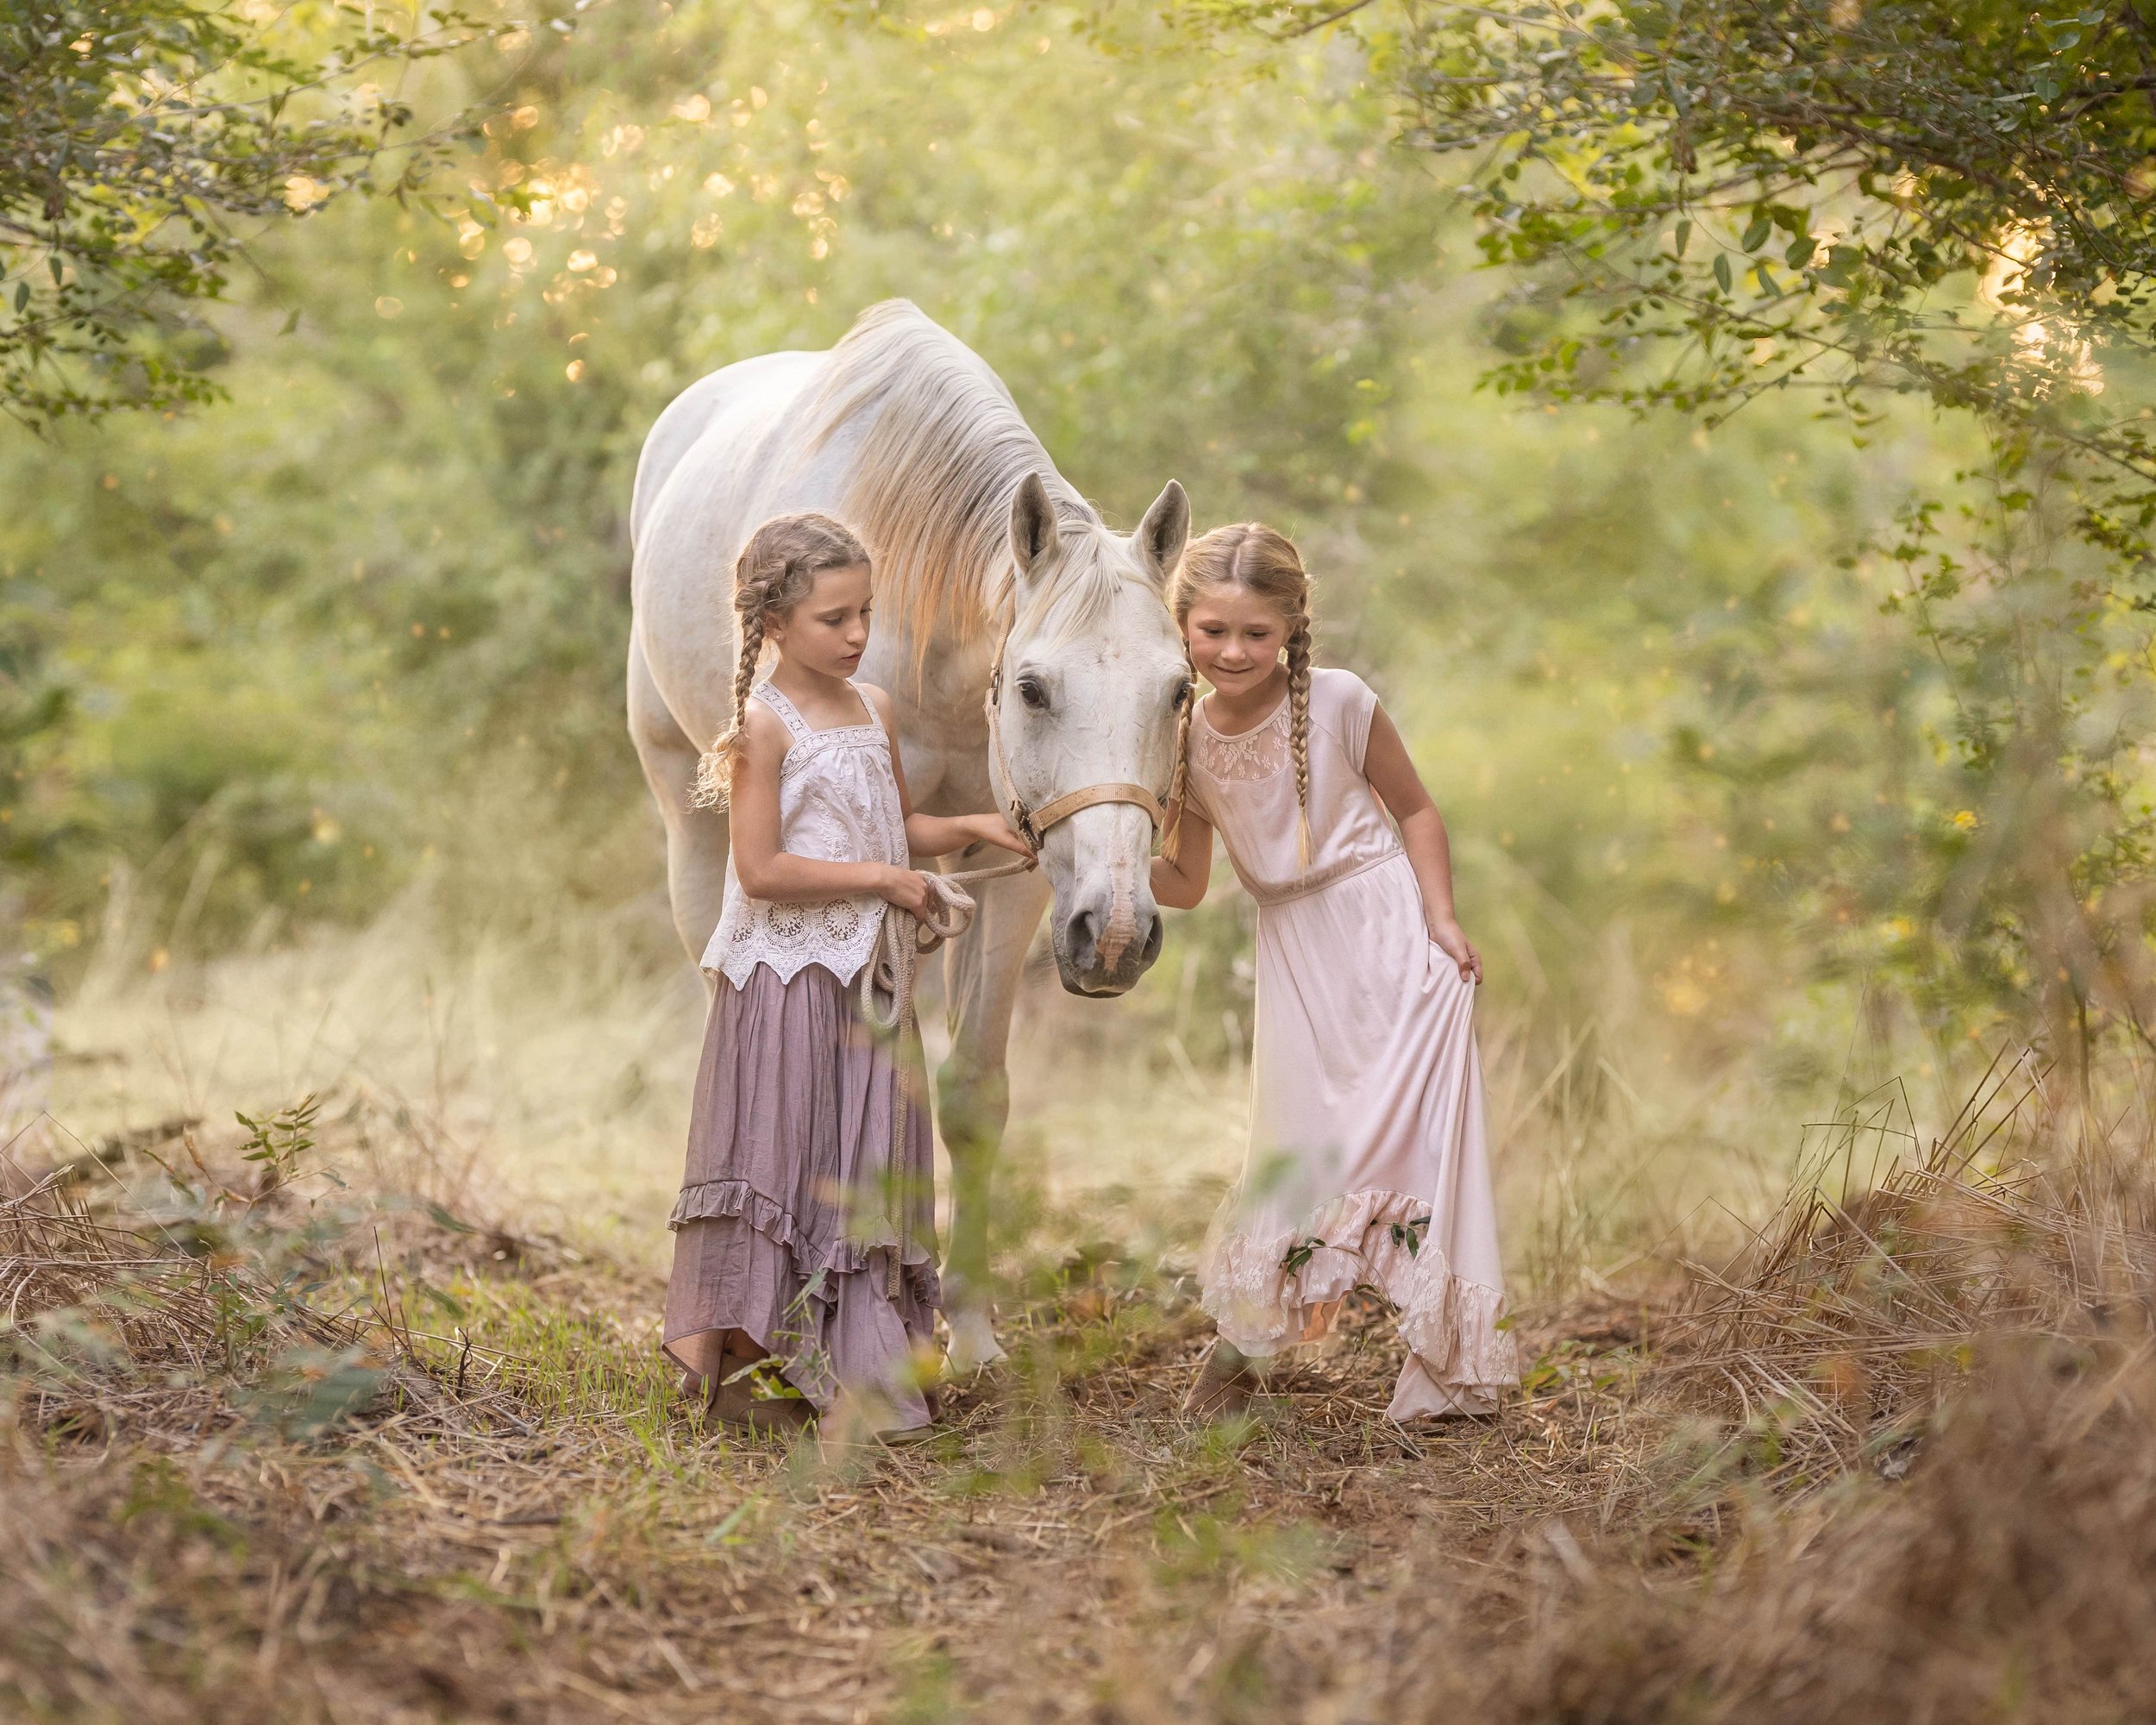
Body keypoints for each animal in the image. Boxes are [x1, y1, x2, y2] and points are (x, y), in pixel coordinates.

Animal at [625, 304, 1199, 1371]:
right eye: (1033, 687)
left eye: (1180, 688)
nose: (1115, 935)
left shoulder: (1013, 868)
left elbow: (969, 1093)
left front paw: (965, 1330)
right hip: (688, 812)